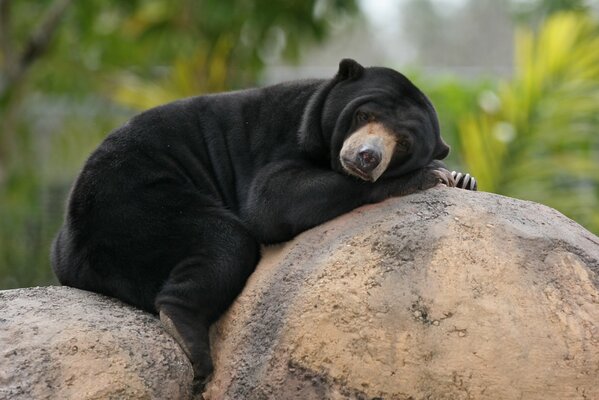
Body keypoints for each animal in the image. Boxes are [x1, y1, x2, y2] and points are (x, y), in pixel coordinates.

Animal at [49, 57, 476, 386]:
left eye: (402, 143)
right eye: (364, 115)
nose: (367, 157)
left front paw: (462, 178)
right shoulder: (282, 140)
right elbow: (271, 200)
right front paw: (432, 175)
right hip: (135, 202)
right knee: (225, 241)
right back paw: (189, 339)